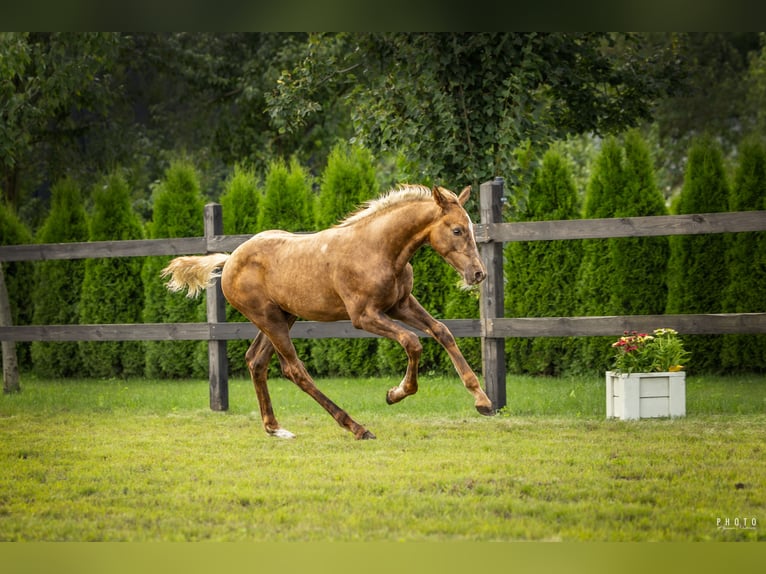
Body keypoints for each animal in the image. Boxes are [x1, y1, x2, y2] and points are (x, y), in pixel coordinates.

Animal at [161, 184, 494, 439]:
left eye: (471, 228)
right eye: (457, 230)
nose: (478, 274)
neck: (378, 249)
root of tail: (229, 260)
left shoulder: (401, 304)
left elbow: (442, 331)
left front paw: (483, 401)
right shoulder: (364, 316)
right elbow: (412, 342)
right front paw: (395, 393)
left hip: (283, 317)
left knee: (256, 361)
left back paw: (275, 429)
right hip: (269, 319)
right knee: (294, 370)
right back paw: (357, 428)